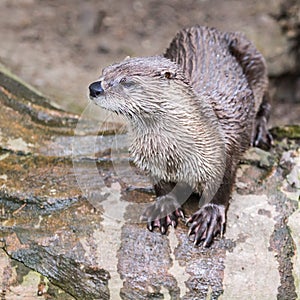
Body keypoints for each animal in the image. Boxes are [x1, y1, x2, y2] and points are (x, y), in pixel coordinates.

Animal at [88, 25, 274, 246]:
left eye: (127, 82)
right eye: (104, 72)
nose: (94, 88)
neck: (173, 152)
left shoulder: (224, 153)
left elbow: (221, 189)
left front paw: (209, 216)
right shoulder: (150, 161)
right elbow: (161, 186)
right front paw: (164, 207)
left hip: (254, 59)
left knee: (266, 99)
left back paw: (259, 130)